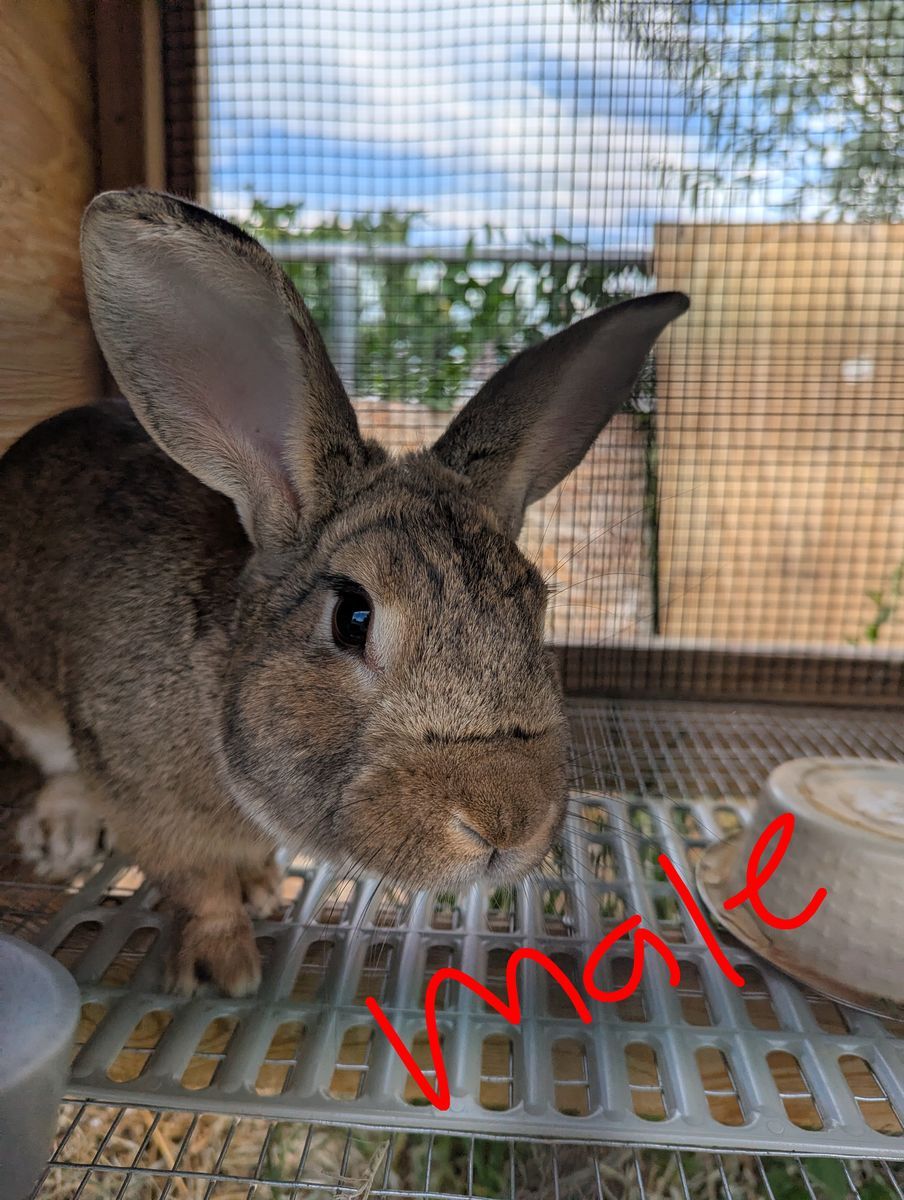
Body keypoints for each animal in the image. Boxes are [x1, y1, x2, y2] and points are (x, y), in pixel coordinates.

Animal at [0, 189, 688, 995]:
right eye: (352, 618)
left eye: (536, 602)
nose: (506, 823)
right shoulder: (148, 803)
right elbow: (199, 888)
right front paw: (225, 970)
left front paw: (263, 889)